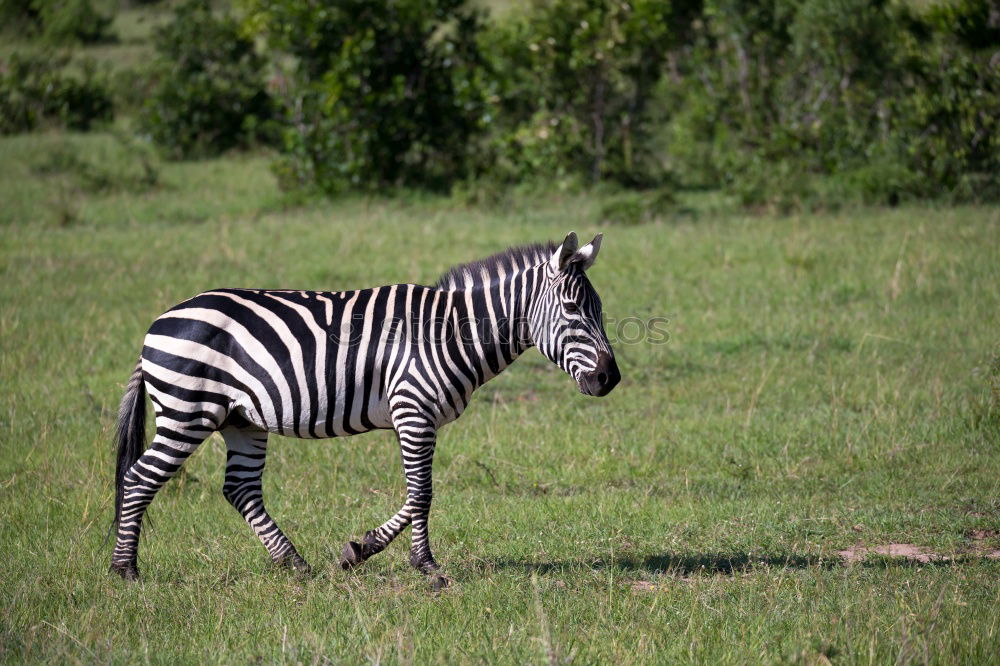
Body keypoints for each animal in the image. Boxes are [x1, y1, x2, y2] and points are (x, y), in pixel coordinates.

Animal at [113, 230, 620, 580]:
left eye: (599, 310)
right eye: (573, 309)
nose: (609, 379)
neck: (451, 331)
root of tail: (160, 321)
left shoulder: (416, 417)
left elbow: (415, 494)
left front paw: (360, 550)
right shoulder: (413, 409)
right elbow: (422, 492)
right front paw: (426, 566)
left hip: (241, 419)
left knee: (240, 489)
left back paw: (295, 564)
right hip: (187, 412)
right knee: (140, 477)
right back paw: (125, 571)